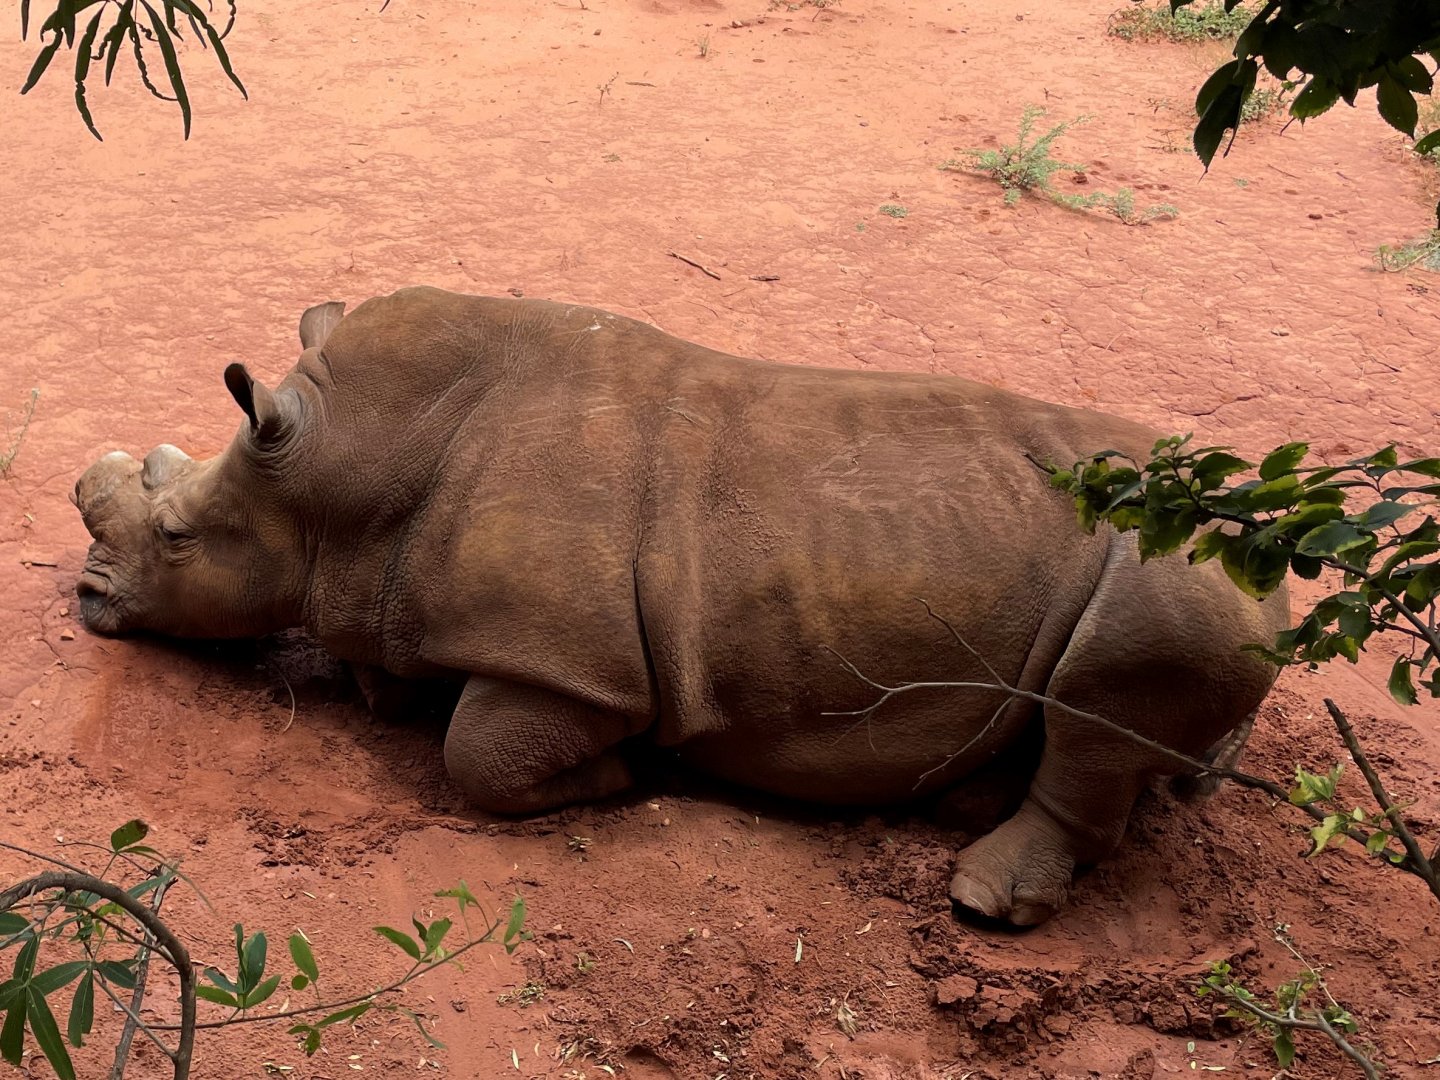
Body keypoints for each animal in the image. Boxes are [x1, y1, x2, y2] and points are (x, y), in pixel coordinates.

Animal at [73, 286, 1288, 925]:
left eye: (176, 541)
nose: (84, 599)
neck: (350, 471)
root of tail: (1266, 555)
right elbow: (402, 686)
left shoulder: (572, 664)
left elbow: (482, 757)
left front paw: (621, 778)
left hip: (1176, 569)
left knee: (1109, 699)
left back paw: (982, 899)